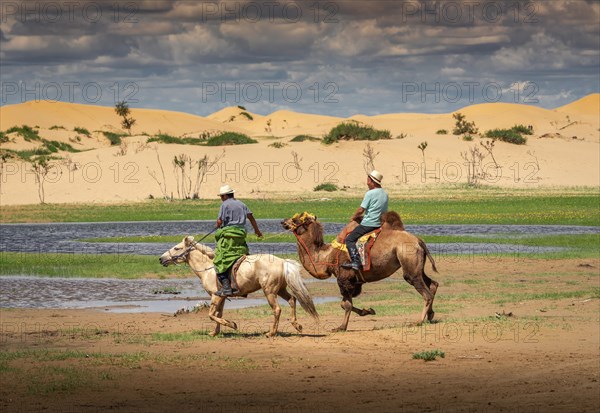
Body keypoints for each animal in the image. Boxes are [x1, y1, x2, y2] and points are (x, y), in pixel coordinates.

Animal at [158, 237, 318, 336]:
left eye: (177, 248)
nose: (161, 259)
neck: (208, 269)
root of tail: (282, 262)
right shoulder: (221, 297)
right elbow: (217, 314)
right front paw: (215, 332)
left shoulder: (215, 296)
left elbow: (211, 314)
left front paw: (232, 324)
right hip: (280, 290)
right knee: (292, 300)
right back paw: (297, 325)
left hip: (270, 292)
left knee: (277, 309)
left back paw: (271, 333)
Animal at [282, 211, 436, 330]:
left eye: (296, 219)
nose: (283, 221)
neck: (328, 256)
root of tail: (419, 240)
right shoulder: (355, 282)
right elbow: (345, 304)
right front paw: (368, 311)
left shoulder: (344, 278)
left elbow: (346, 305)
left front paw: (341, 327)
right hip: (418, 265)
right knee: (432, 283)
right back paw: (430, 315)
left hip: (409, 263)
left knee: (424, 291)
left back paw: (418, 321)